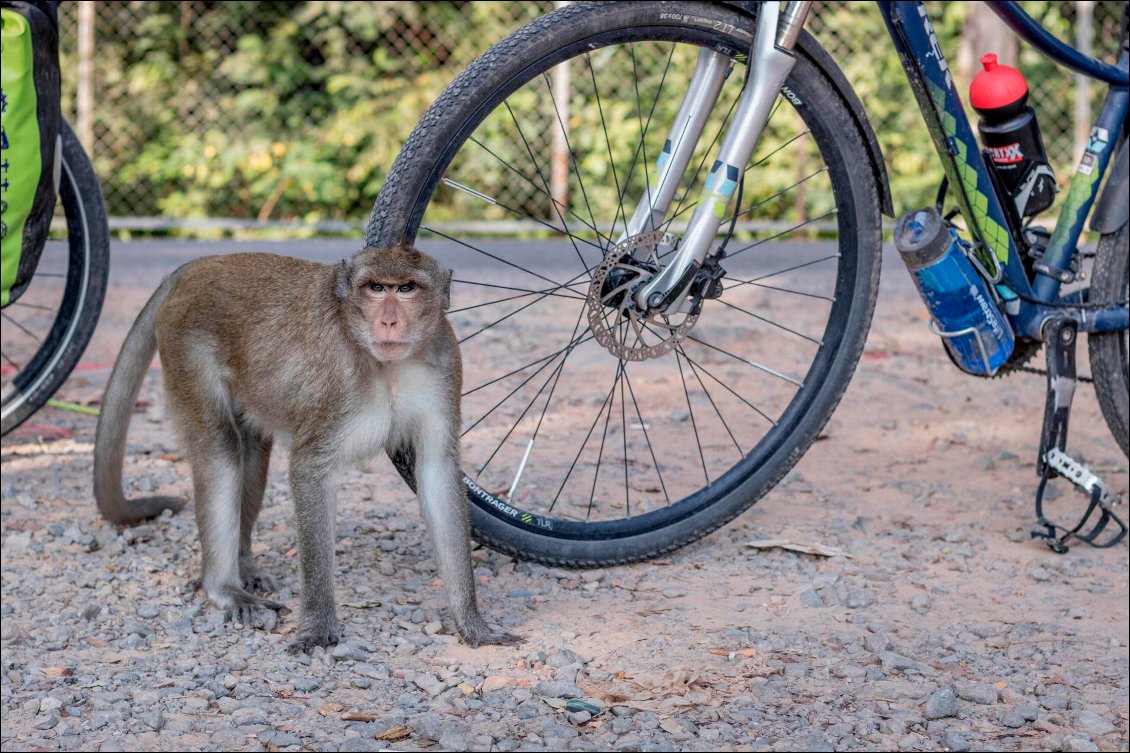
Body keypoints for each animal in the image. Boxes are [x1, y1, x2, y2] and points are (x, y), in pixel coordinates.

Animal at [94, 243, 517, 646]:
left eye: (407, 289)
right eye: (376, 288)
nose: (389, 321)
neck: (387, 365)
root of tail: (201, 264)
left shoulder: (446, 365)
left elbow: (436, 471)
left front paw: (471, 620)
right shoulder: (336, 383)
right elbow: (310, 469)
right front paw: (317, 624)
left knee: (252, 456)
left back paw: (243, 563)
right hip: (186, 348)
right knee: (222, 450)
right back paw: (224, 587)